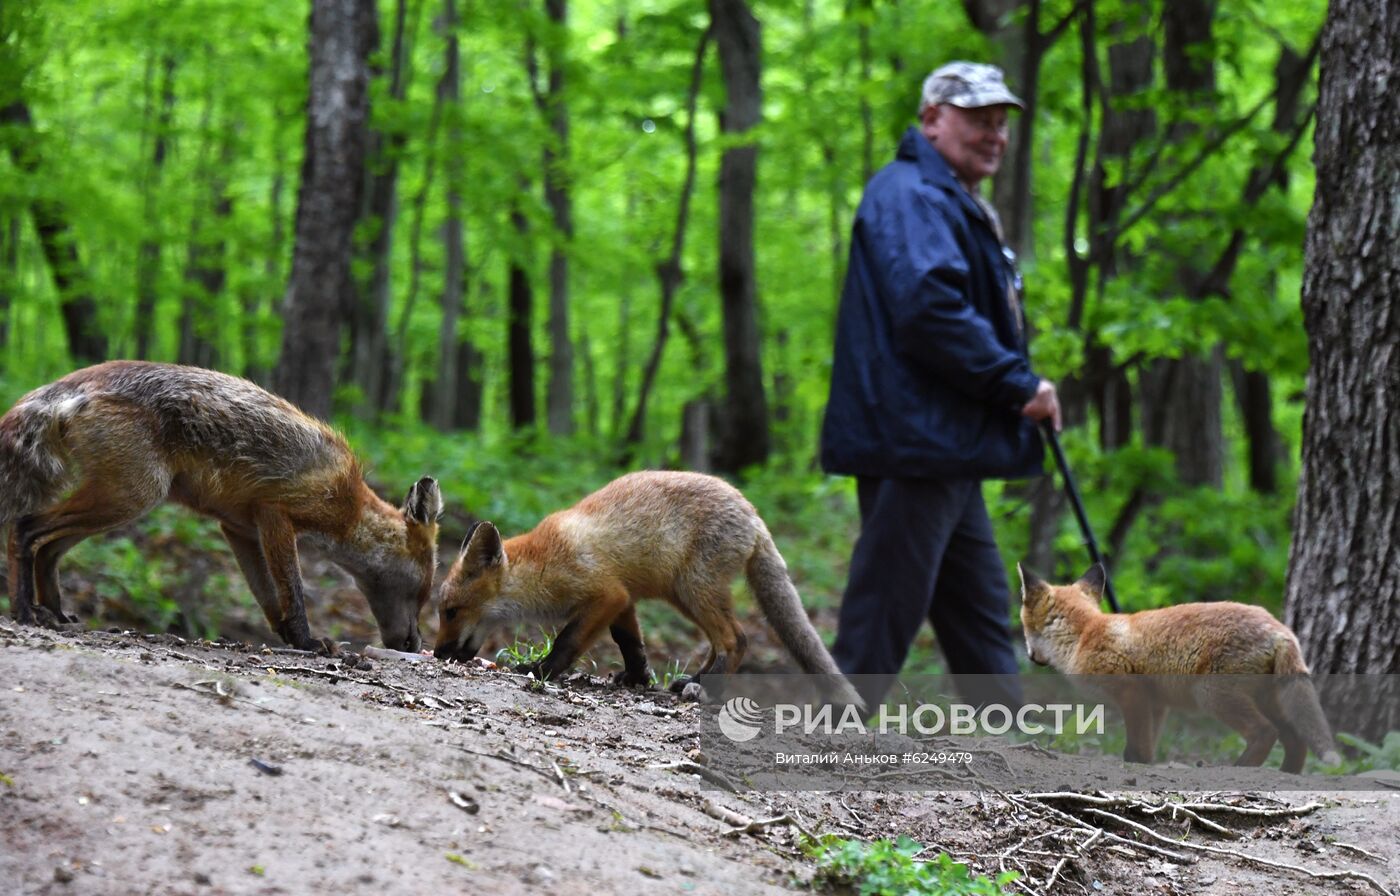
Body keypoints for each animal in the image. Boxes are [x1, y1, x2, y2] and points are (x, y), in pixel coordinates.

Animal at [0, 361, 439, 649]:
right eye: (422, 591)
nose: (416, 645)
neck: (350, 505)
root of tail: (72, 381)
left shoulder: (240, 528)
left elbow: (268, 598)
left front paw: (288, 637)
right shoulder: (276, 515)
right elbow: (292, 591)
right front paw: (307, 642)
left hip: (116, 504)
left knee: (48, 551)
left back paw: (56, 613)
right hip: (131, 497)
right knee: (24, 528)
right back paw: (23, 609)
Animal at [431, 470, 862, 705]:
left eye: (451, 612)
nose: (437, 653)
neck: (542, 564)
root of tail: (753, 512)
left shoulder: (605, 593)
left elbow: (568, 639)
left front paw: (542, 670)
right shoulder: (623, 599)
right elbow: (630, 643)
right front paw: (638, 678)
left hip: (694, 589)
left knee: (736, 639)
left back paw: (706, 688)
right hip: (684, 596)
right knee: (720, 641)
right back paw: (694, 680)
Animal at [1024, 562, 1338, 772]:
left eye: (1025, 628)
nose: (1029, 657)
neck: (1085, 634)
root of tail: (1281, 629)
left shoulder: (1132, 693)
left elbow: (1136, 748)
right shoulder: (1156, 703)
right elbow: (1146, 747)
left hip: (1212, 695)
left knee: (1265, 732)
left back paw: (1238, 767)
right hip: (1269, 700)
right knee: (1296, 741)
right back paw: (1286, 773)